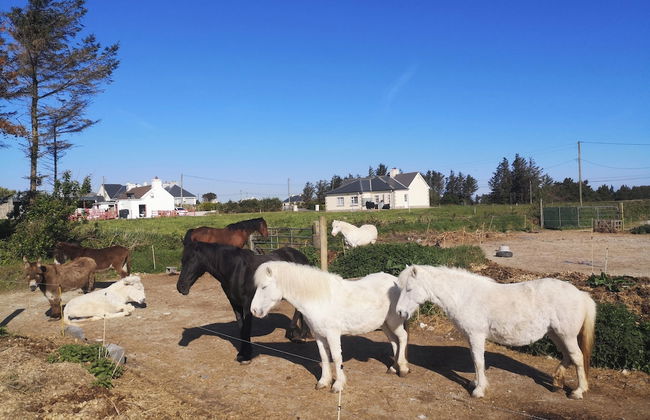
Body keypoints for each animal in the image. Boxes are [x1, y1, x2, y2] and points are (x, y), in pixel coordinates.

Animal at [176, 241, 312, 363]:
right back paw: (300, 334)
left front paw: (246, 357)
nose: (180, 287)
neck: (236, 270)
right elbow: (242, 328)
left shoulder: (248, 305)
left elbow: (246, 329)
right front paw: (242, 353)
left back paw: (295, 334)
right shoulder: (235, 304)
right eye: (182, 260)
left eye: (191, 260)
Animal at [251, 261, 410, 392]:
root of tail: (395, 281)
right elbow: (324, 356)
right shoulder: (319, 335)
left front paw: (338, 385)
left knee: (402, 338)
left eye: (264, 287)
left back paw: (403, 369)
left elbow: (336, 357)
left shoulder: (333, 334)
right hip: (385, 324)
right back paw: (393, 368)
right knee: (394, 341)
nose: (254, 311)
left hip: (394, 321)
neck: (319, 299)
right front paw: (323, 382)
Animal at [396, 265, 596, 399]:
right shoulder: (471, 337)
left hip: (567, 335)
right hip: (556, 334)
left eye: (409, 289)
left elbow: (478, 361)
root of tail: (581, 294)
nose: (399, 312)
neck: (465, 296)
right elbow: (475, 360)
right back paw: (557, 382)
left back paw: (578, 391)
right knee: (568, 356)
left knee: (577, 357)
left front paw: (478, 390)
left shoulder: (476, 335)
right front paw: (476, 383)